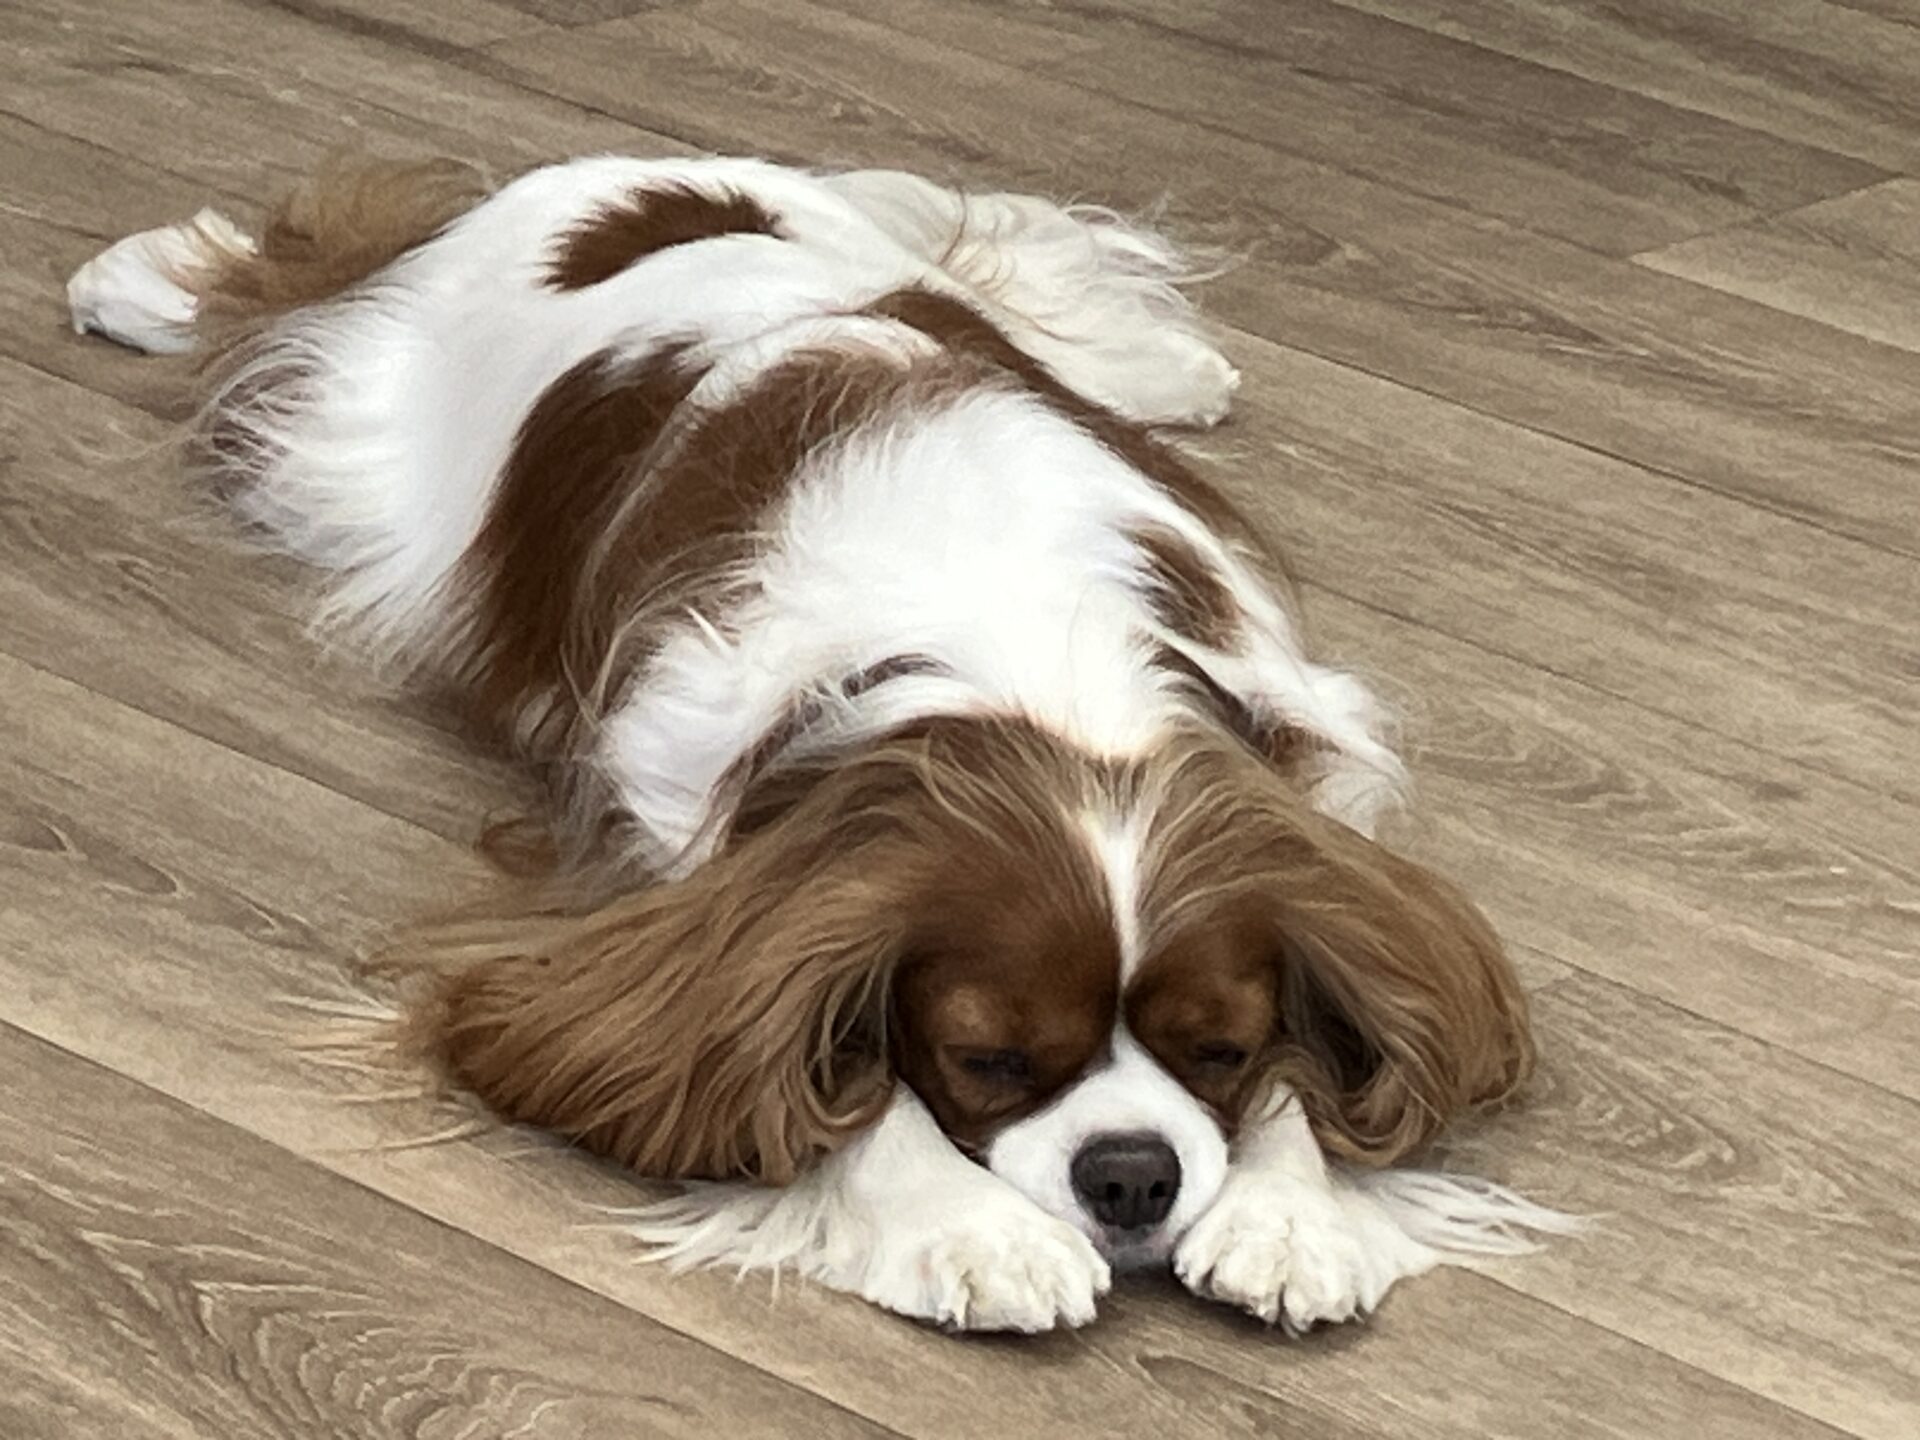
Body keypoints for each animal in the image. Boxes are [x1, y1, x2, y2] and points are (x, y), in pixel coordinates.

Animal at [68, 154, 1575, 1333]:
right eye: (987, 1060)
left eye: (1219, 1047)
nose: (1133, 1176)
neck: (1027, 669)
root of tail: (624, 179)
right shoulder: (669, 865)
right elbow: (794, 1060)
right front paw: (970, 1230)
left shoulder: (1307, 781)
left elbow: (1340, 1013)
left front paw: (1288, 1206)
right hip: (353, 442)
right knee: (293, 297)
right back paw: (136, 283)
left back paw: (1171, 369)